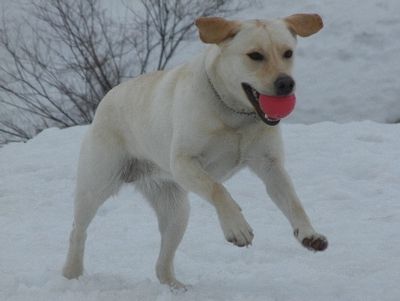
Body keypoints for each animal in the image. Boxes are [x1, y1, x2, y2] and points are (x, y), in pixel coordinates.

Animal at [61, 12, 324, 288]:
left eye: (288, 53)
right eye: (255, 55)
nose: (286, 83)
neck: (235, 114)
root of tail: (107, 98)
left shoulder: (270, 165)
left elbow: (293, 201)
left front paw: (309, 234)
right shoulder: (183, 163)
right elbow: (218, 189)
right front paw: (237, 228)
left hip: (176, 211)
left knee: (162, 263)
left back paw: (175, 287)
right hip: (96, 185)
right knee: (78, 230)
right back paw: (72, 273)